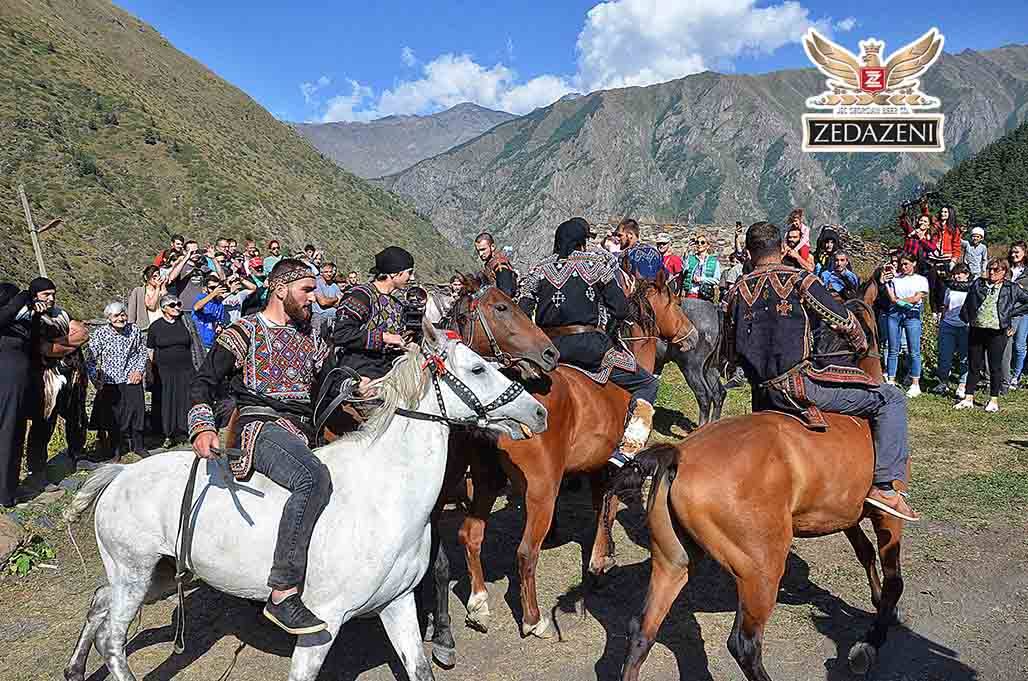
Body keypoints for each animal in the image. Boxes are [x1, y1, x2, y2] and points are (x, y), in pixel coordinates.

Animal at [62, 322, 548, 681]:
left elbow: (420, 668)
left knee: (99, 602)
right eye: (478, 369)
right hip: (134, 574)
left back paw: (74, 668)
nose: (538, 411)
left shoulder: (398, 606)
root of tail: (121, 474)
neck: (385, 495)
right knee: (113, 641)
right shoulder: (323, 626)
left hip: (156, 575)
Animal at [611, 278, 910, 681]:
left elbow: (864, 554)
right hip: (761, 572)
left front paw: (879, 607)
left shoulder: (844, 515)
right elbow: (894, 579)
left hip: (672, 563)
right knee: (744, 644)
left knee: (642, 631)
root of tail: (679, 456)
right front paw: (872, 639)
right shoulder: (886, 517)